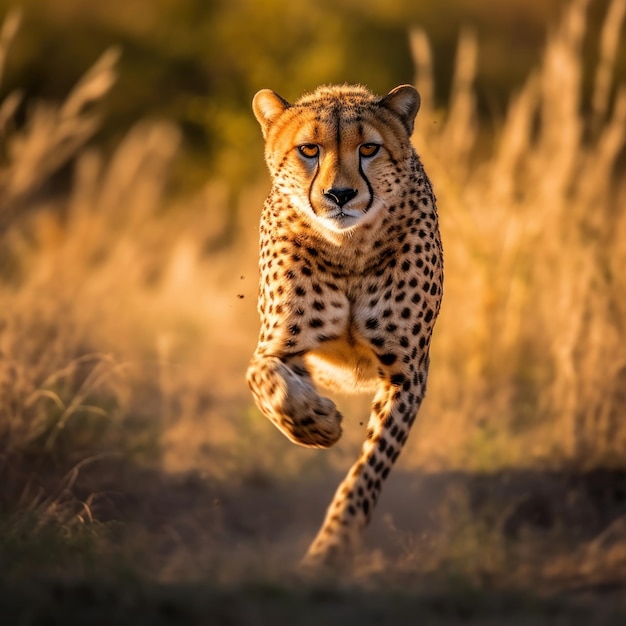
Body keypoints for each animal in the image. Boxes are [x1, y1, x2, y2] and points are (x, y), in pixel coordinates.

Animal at [246, 81, 442, 564]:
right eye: (309, 149)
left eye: (368, 148)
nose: (340, 195)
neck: (349, 248)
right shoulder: (281, 346)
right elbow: (265, 380)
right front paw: (318, 422)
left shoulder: (406, 373)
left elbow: (370, 465)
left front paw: (335, 541)